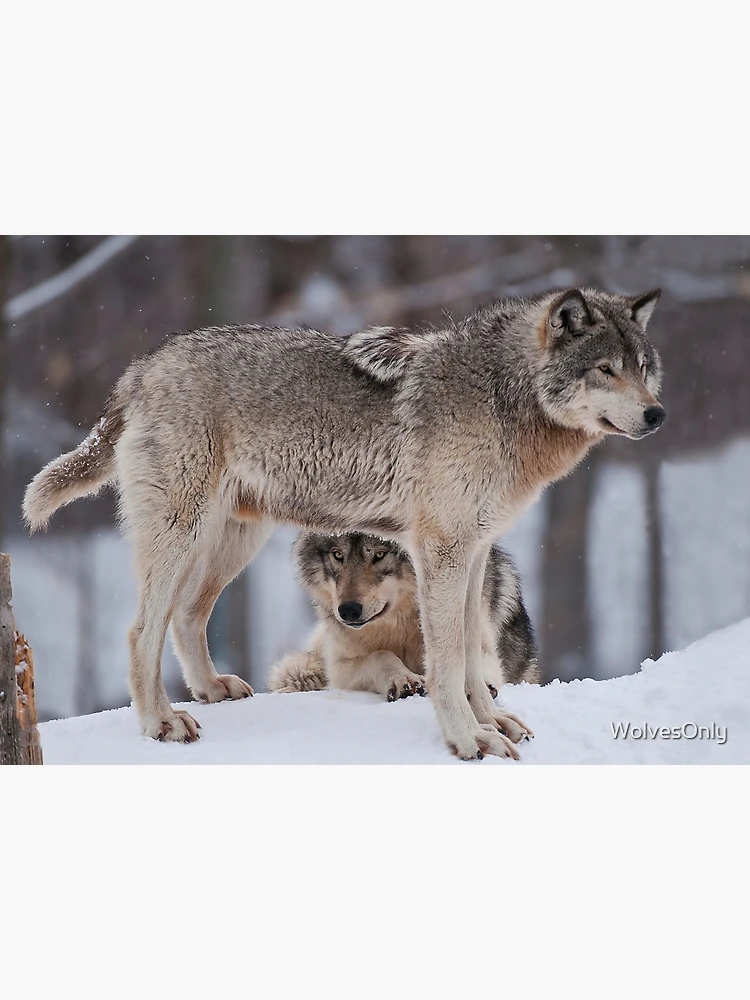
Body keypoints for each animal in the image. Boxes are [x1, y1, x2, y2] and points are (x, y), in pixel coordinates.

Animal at [268, 532, 540, 703]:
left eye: (380, 554)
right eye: (337, 555)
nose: (348, 610)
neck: (401, 624)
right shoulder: (340, 667)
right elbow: (381, 655)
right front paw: (403, 679)